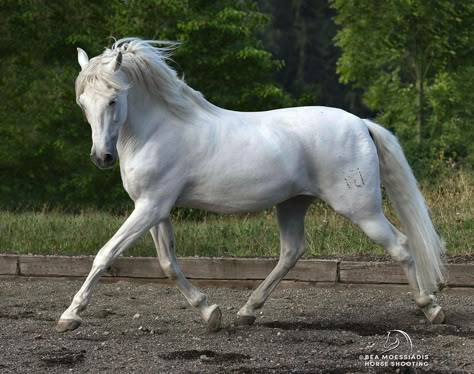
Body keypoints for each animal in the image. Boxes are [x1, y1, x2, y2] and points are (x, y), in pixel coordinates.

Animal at [55, 38, 444, 334]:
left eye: (113, 99)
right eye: (82, 103)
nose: (101, 157)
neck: (155, 131)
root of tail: (361, 124)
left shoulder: (151, 207)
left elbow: (106, 254)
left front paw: (70, 316)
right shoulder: (154, 209)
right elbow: (168, 264)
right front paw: (210, 313)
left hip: (361, 209)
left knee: (401, 245)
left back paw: (431, 307)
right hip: (293, 203)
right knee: (291, 252)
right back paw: (247, 311)